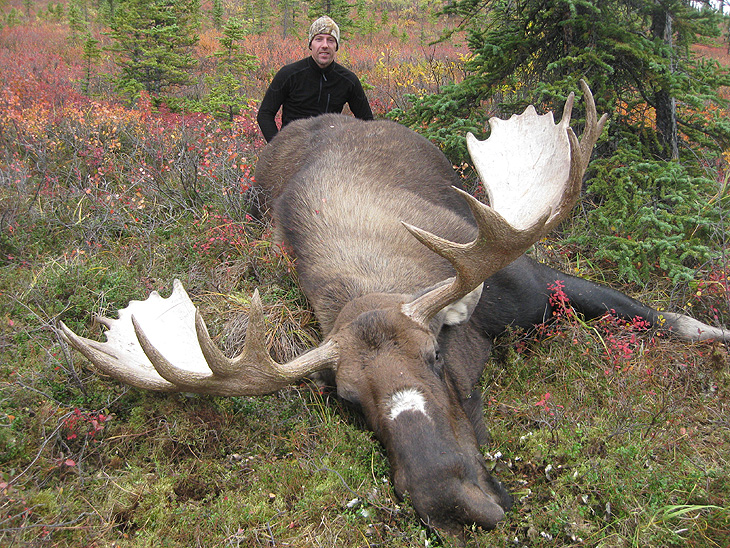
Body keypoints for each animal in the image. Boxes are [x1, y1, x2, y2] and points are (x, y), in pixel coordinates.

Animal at [59, 81, 728, 536]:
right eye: (349, 400)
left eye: (435, 355)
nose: (450, 503)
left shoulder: (533, 281)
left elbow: (663, 316)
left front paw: (714, 332)